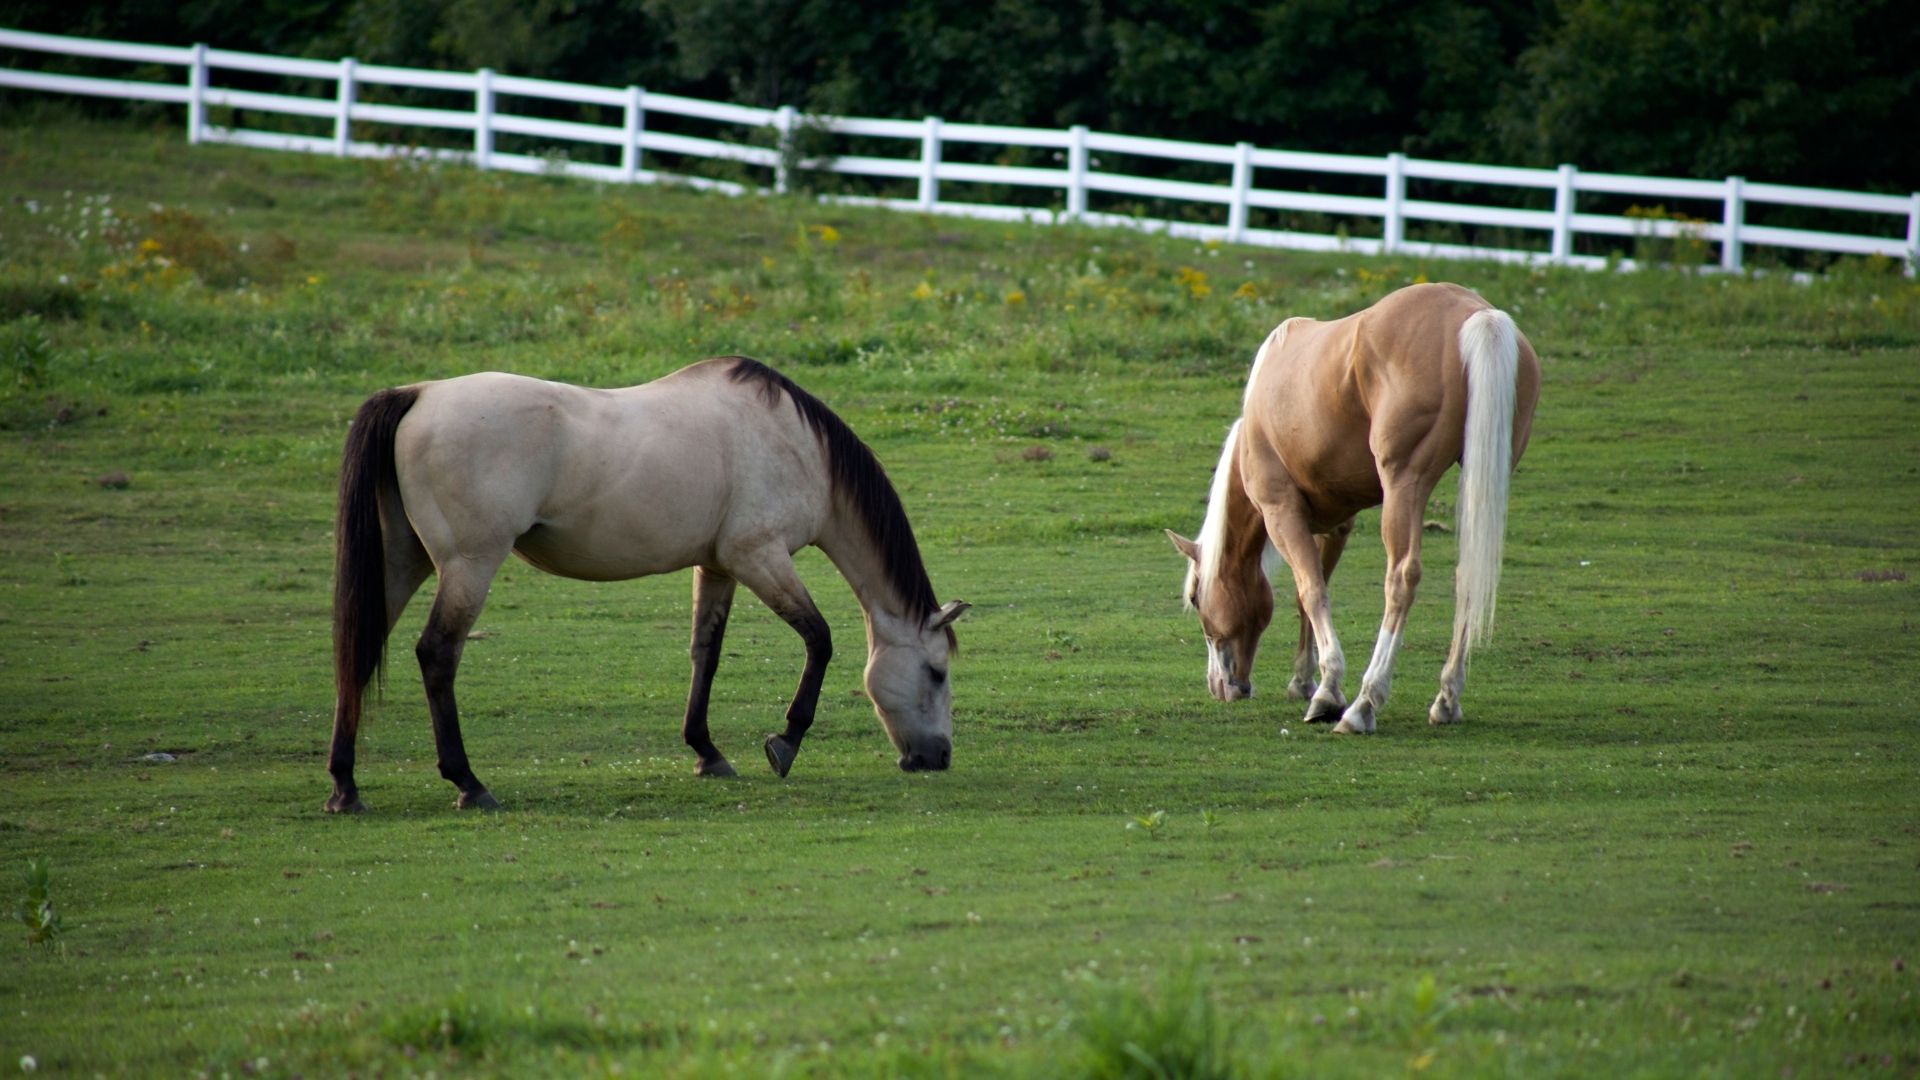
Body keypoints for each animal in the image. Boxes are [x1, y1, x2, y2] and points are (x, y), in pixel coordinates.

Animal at [324, 353, 975, 807]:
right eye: (937, 673)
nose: (939, 757)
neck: (796, 444)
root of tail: (417, 394)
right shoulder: (760, 557)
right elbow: (819, 639)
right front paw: (785, 743)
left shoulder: (717, 566)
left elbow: (705, 653)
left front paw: (707, 752)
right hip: (468, 565)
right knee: (437, 654)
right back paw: (468, 783)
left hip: (403, 562)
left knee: (358, 650)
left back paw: (345, 787)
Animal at [1159, 276, 1536, 730]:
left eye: (1196, 599)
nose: (1221, 686)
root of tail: (1475, 314)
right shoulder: (1335, 523)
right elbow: (1310, 593)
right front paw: (1303, 681)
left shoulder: (1281, 513)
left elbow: (1311, 591)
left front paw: (1326, 693)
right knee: (1469, 574)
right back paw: (1446, 699)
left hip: (1404, 486)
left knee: (1401, 579)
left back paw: (1364, 704)